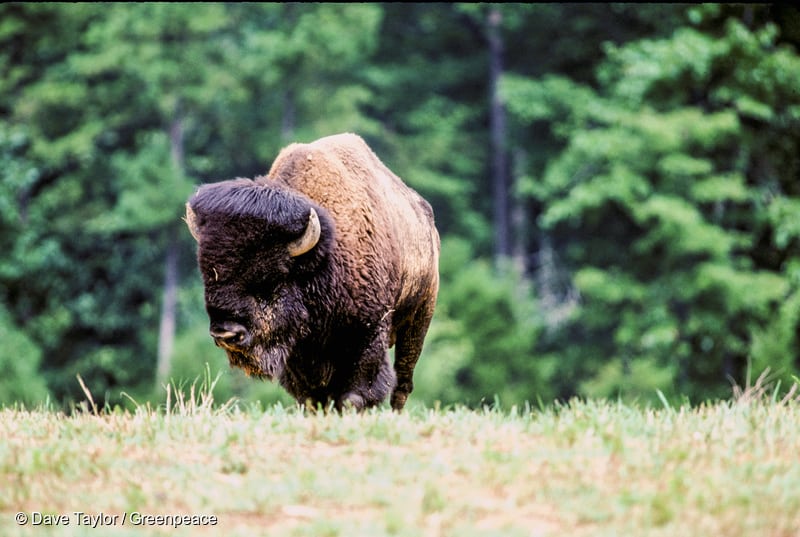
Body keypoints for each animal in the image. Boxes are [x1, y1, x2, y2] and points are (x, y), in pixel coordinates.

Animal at [185, 133, 440, 410]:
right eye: (208, 276)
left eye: (270, 279)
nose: (226, 333)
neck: (322, 259)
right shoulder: (300, 354)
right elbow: (311, 396)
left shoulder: (368, 333)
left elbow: (356, 392)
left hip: (419, 317)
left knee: (403, 380)